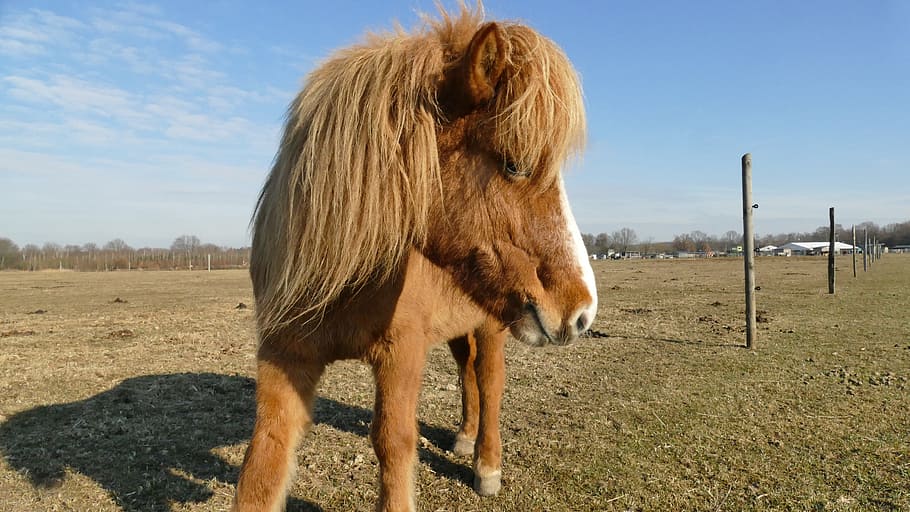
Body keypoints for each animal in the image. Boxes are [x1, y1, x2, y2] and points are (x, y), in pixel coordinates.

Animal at [233, 5, 597, 512]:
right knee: (467, 373)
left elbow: (393, 441)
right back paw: (464, 438)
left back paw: (486, 466)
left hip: (492, 324)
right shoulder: (283, 355)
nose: (582, 311)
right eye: (514, 164)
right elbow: (262, 463)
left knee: (490, 381)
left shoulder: (400, 353)